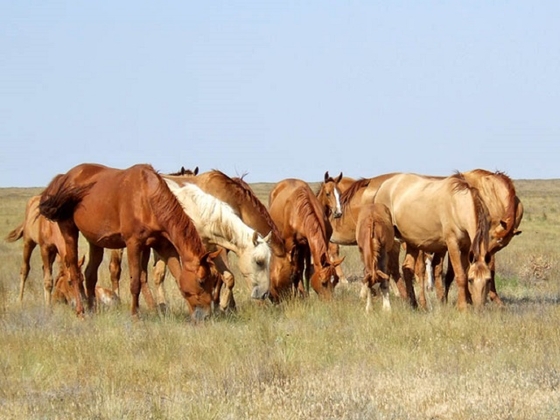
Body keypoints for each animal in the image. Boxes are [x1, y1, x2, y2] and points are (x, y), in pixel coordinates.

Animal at [37, 162, 220, 320]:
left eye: (214, 280)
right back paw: (81, 312)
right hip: (69, 232)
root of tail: (65, 177)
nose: (206, 315)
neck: (147, 198)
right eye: (202, 281)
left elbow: (176, 277)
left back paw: (92, 310)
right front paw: (135, 316)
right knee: (75, 272)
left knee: (90, 275)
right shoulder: (133, 244)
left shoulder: (162, 246)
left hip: (95, 241)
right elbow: (135, 283)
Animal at [161, 177, 272, 308]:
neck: (198, 214)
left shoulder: (211, 250)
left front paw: (223, 304)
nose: (265, 294)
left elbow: (229, 277)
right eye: (259, 262)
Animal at [374, 171, 492, 312]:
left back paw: (415, 304)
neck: (456, 205)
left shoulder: (465, 248)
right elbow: (460, 275)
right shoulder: (452, 244)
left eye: (488, 280)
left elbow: (462, 271)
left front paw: (461, 303)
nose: (479, 309)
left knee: (407, 268)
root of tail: (383, 186)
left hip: (412, 243)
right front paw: (463, 307)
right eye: (471, 280)